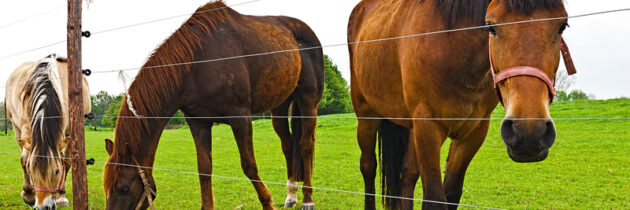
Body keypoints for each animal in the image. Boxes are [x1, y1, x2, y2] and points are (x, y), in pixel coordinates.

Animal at [102, 1, 326, 210]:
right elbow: (204, 169)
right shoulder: (198, 122)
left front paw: (267, 202)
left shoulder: (240, 118)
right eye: (106, 187)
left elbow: (249, 165)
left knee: (305, 145)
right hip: (279, 108)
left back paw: (307, 199)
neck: (196, 64)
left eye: (123, 188)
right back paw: (291, 196)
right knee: (288, 145)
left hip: (308, 102)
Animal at [350, 0, 576, 209]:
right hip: (367, 116)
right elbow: (434, 199)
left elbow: (451, 193)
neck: (453, 47)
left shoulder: (472, 132)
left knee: (407, 174)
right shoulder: (428, 126)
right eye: (491, 27)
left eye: (562, 26)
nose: (529, 132)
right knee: (368, 166)